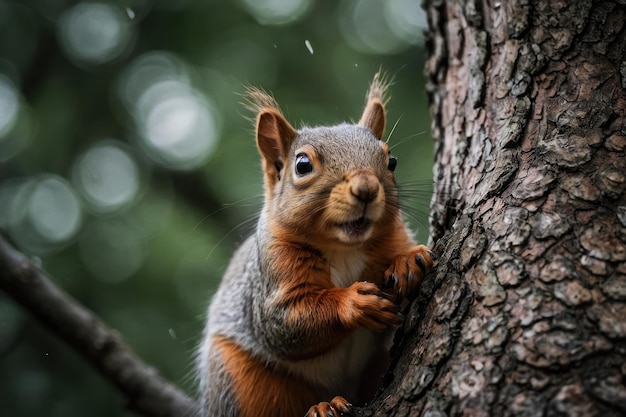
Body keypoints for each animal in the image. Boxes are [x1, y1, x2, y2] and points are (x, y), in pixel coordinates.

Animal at [197, 73, 432, 416]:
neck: (344, 248)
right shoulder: (274, 271)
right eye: (303, 165)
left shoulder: (394, 234)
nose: (366, 188)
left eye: (392, 160)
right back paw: (323, 407)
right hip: (240, 378)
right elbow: (285, 323)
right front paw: (354, 303)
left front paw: (407, 261)